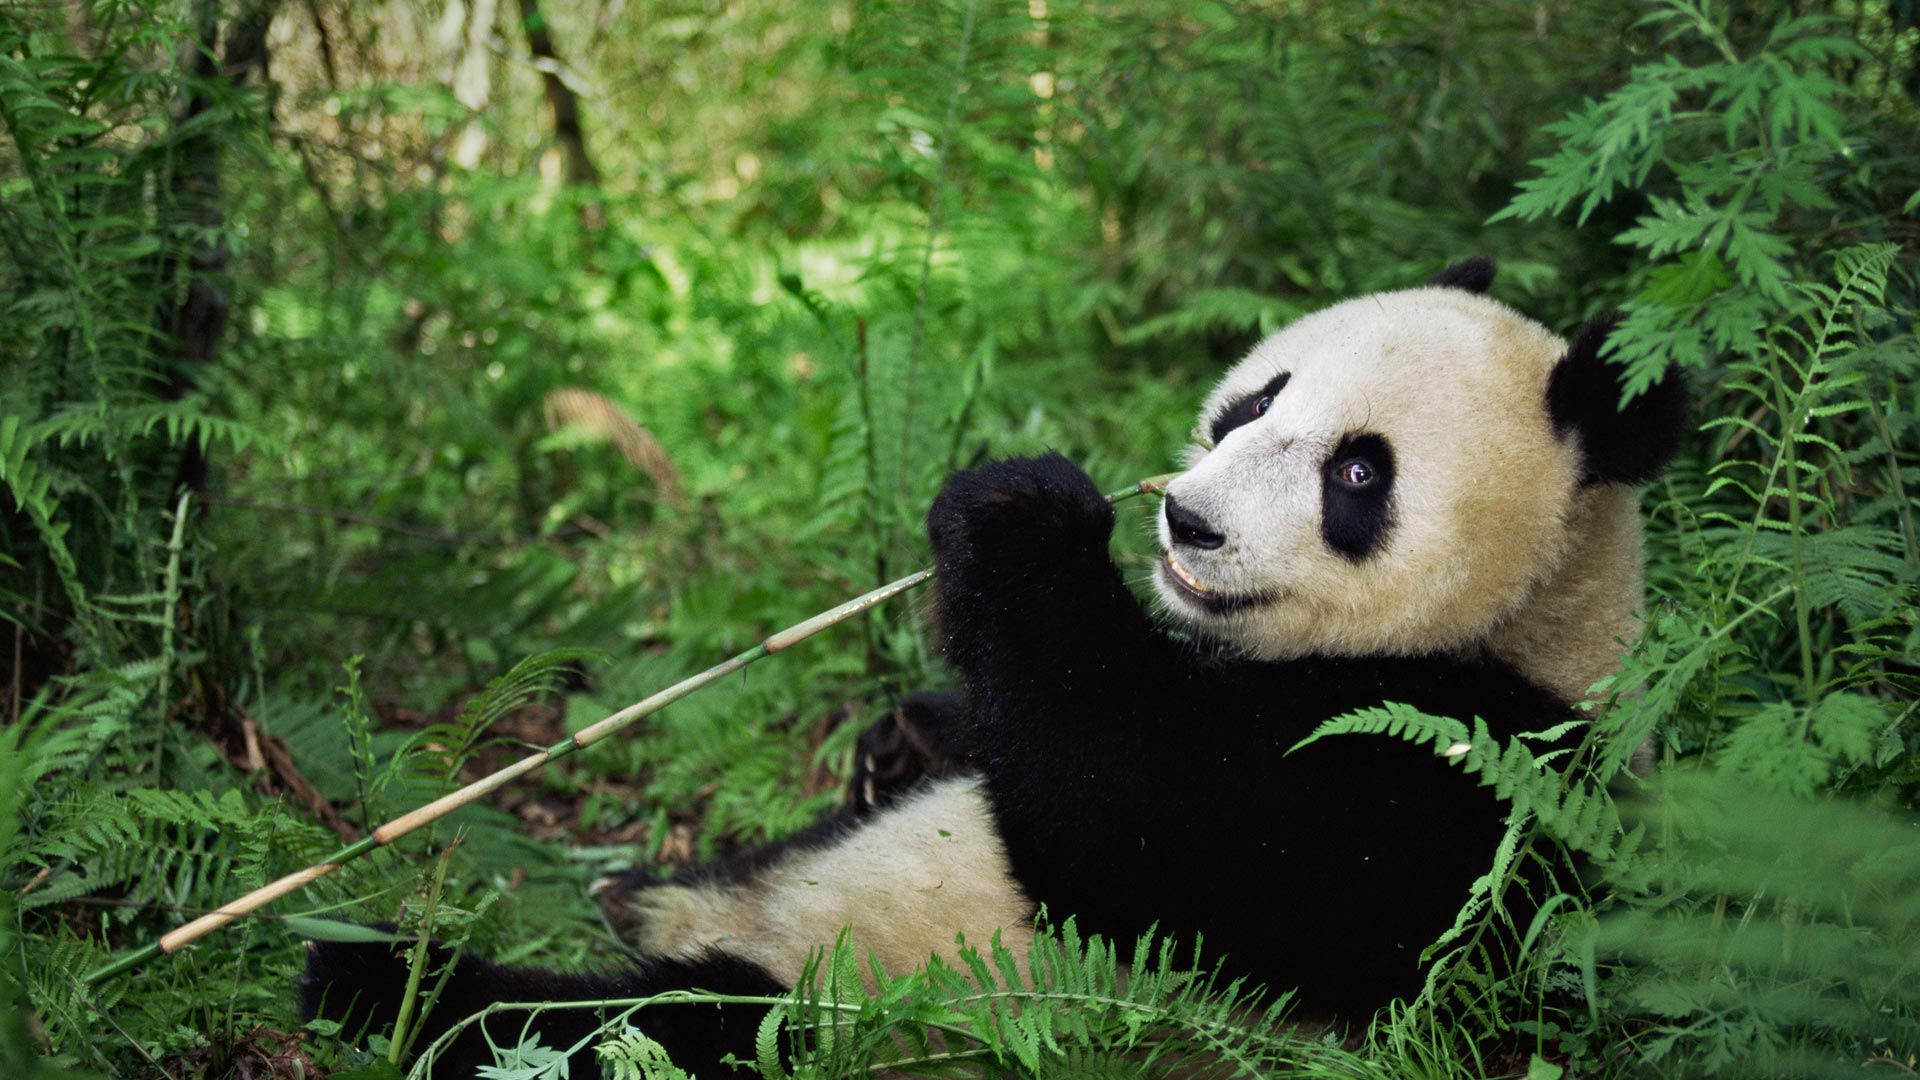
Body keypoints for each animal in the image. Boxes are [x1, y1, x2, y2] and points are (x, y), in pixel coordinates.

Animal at [299, 255, 1681, 1068]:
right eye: (1255, 401)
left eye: (1357, 473)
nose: (1187, 522)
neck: (1535, 620)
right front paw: (903, 735)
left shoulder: (1466, 780)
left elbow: (1147, 843)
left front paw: (1021, 520)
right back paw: (623, 893)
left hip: (855, 1014)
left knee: (649, 1030)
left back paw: (386, 980)